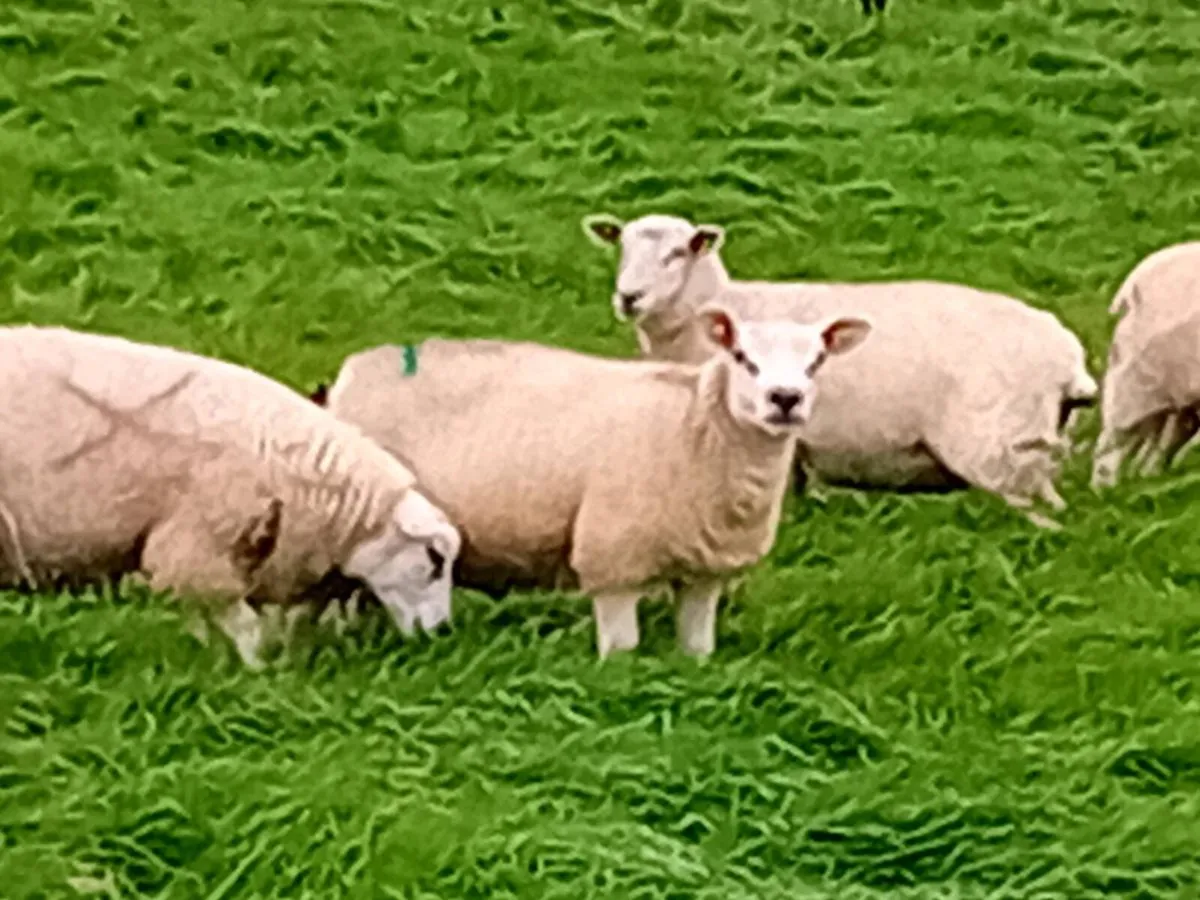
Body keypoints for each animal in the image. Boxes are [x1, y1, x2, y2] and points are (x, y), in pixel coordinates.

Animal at [318, 306, 872, 659]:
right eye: (742, 358)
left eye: (817, 362)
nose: (785, 399)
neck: (697, 426)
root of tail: (351, 372)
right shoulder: (613, 559)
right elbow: (622, 650)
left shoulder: (705, 572)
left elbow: (698, 649)